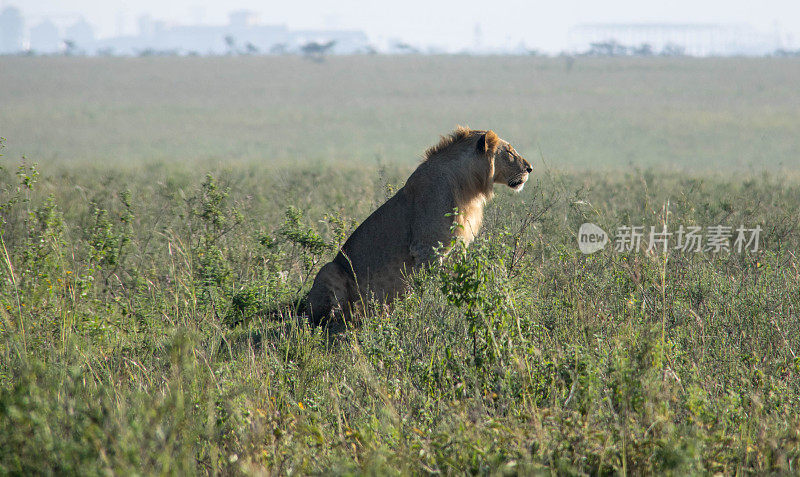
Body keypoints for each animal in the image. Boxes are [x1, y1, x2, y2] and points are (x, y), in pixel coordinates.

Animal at [306, 124, 532, 326]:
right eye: (509, 151)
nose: (530, 168)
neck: (468, 187)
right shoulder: (427, 249)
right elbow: (429, 288)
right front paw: (428, 310)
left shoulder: (458, 248)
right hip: (329, 269)